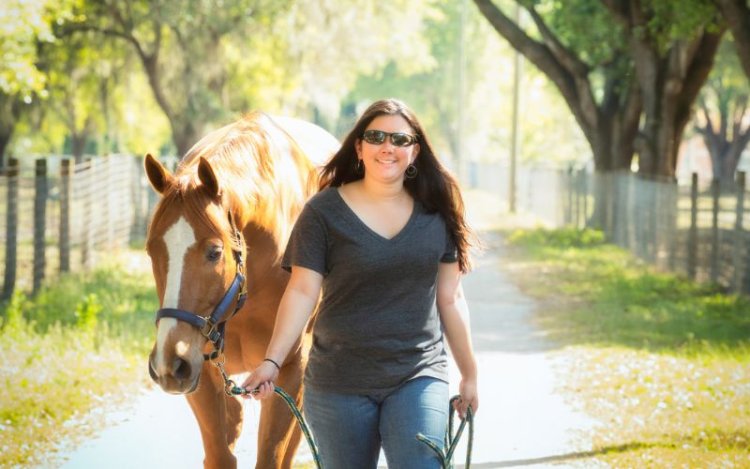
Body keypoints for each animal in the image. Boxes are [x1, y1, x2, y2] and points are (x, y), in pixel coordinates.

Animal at [143, 112, 339, 468]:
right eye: (152, 251)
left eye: (214, 252)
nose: (169, 362)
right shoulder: (202, 372)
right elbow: (220, 454)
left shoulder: (289, 371)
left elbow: (272, 456)